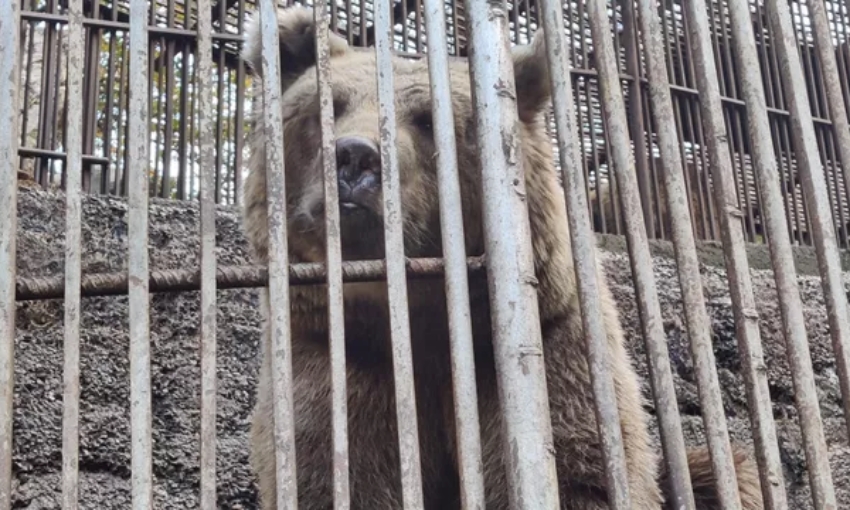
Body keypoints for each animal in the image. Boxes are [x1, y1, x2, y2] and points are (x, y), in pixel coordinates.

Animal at [237, 4, 760, 510]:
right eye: (329, 107)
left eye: (428, 120)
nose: (354, 158)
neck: (420, 320)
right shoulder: (340, 362)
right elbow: (340, 475)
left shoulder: (553, 348)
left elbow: (581, 473)